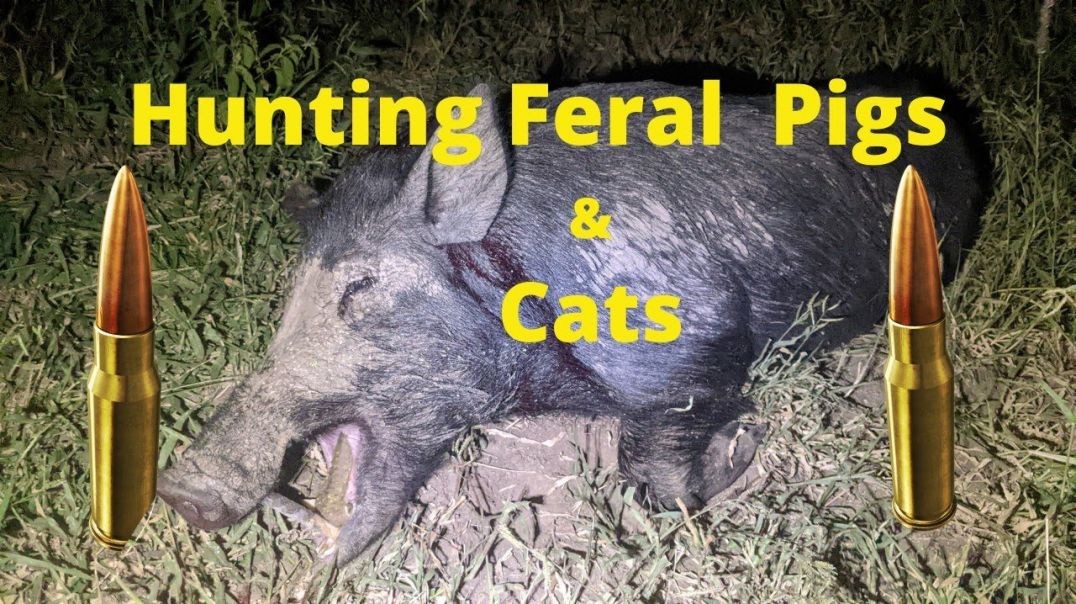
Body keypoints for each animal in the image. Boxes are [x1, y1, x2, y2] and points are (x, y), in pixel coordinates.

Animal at [157, 78, 984, 564]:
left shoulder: (693, 346)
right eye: (290, 292)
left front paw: (743, 446)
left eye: (360, 285)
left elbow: (652, 469)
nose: (178, 489)